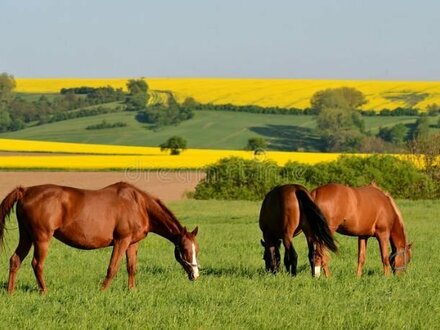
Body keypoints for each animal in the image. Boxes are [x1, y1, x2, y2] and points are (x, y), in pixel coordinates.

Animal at [0, 183, 199, 294]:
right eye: (185, 250)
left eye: (197, 250)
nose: (195, 275)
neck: (139, 204)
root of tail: (25, 191)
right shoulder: (121, 240)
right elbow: (112, 268)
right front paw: (102, 291)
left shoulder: (132, 244)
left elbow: (131, 268)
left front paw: (131, 291)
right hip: (41, 239)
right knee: (37, 264)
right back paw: (44, 292)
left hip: (26, 236)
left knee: (15, 260)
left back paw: (10, 293)